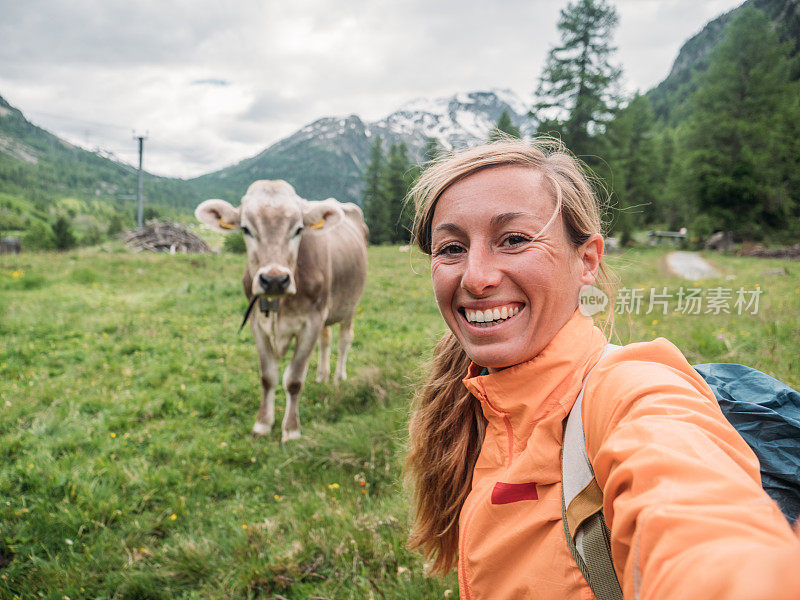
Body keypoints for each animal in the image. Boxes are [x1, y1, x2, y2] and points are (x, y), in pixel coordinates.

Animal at [194, 178, 368, 440]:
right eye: (246, 228)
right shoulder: (257, 323)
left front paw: (291, 429)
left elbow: (294, 380)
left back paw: (338, 377)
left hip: (350, 304)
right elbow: (268, 377)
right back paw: (322, 376)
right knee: (326, 340)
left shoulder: (312, 321)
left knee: (344, 340)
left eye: (298, 229)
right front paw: (262, 424)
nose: (274, 279)